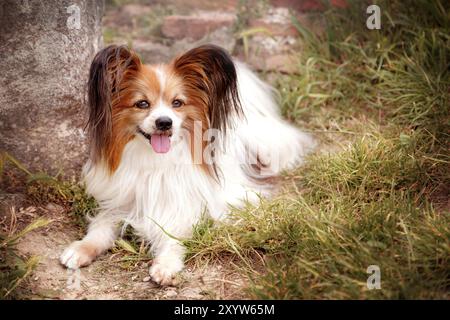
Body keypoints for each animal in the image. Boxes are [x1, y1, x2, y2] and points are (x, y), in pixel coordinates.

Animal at [59, 43, 312, 284]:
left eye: (177, 103)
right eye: (142, 104)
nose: (164, 122)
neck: (155, 159)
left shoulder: (188, 205)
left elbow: (174, 234)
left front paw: (166, 264)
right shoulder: (120, 201)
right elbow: (100, 227)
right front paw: (81, 248)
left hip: (267, 145)